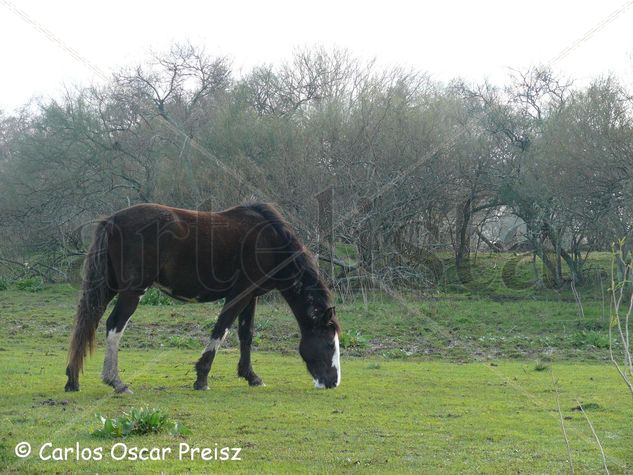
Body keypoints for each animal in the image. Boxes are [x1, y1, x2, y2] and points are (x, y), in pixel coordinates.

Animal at [65, 204, 340, 394]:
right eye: (329, 344)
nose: (333, 382)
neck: (270, 240)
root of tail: (112, 220)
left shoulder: (251, 297)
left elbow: (246, 335)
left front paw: (251, 376)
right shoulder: (239, 294)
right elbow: (221, 330)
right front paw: (202, 378)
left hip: (107, 288)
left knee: (88, 323)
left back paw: (73, 379)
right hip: (132, 292)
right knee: (114, 326)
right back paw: (116, 382)